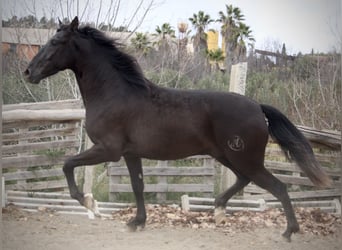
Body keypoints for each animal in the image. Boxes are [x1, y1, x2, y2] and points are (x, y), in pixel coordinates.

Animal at [23, 16, 328, 241]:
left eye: (56, 41)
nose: (28, 72)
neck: (115, 94)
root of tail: (257, 106)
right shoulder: (130, 154)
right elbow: (137, 185)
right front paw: (136, 222)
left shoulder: (108, 150)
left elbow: (67, 164)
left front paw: (89, 205)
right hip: (227, 156)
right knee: (244, 180)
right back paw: (218, 209)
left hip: (245, 158)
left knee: (278, 186)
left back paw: (288, 231)